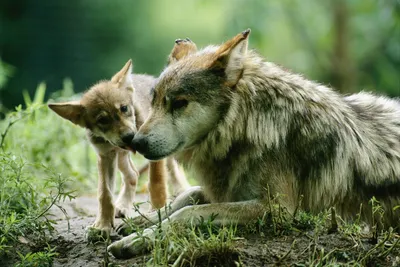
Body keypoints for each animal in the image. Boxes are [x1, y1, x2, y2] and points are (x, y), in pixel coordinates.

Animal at [48, 54, 189, 239]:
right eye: (102, 120)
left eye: (124, 108)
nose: (129, 137)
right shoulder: (105, 156)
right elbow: (105, 194)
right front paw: (102, 226)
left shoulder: (154, 153)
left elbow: (156, 183)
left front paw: (156, 212)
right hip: (120, 157)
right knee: (133, 174)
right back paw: (122, 206)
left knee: (172, 169)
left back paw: (182, 190)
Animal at [107, 29, 400, 260]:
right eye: (154, 101)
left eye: (179, 103)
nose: (136, 142)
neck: (247, 125)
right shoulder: (225, 189)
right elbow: (186, 196)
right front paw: (137, 222)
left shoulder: (278, 209)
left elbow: (189, 212)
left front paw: (139, 239)